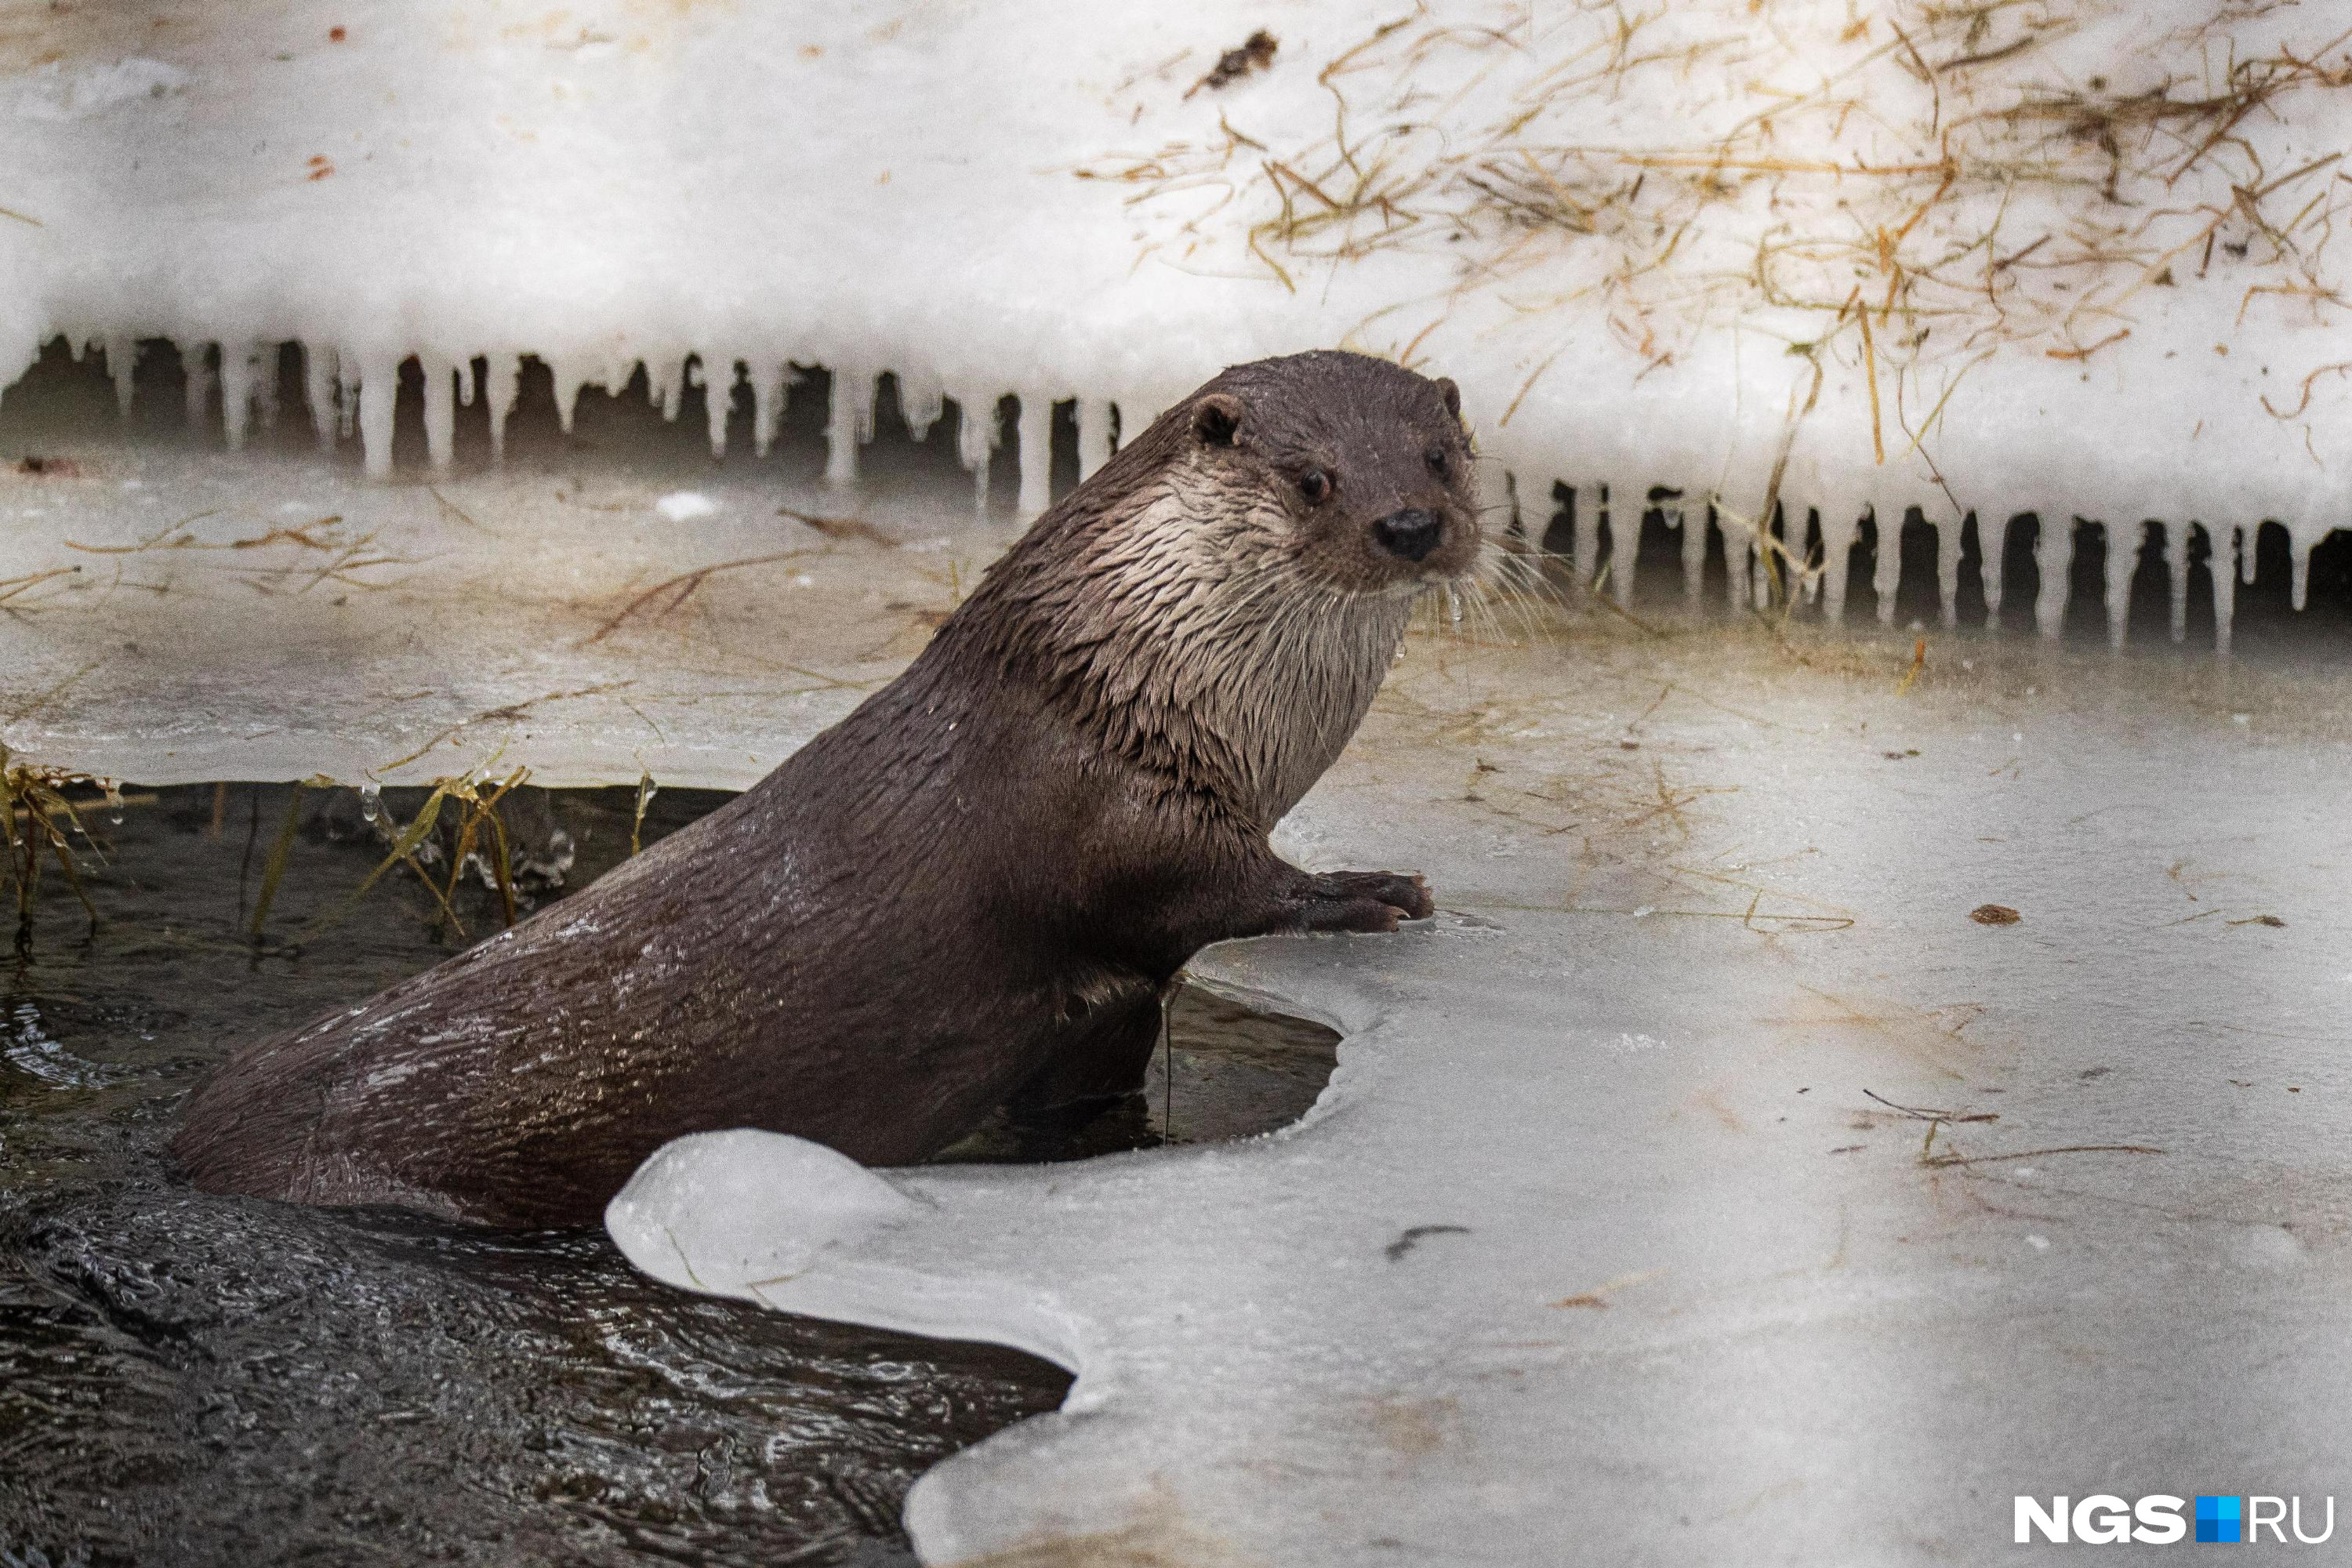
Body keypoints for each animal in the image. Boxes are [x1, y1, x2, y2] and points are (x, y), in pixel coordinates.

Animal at [174, 352, 1477, 1222]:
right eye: (1312, 478)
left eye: (1441, 455)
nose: (1414, 524)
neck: (1128, 684)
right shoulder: (1115, 810)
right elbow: (1205, 884)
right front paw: (1363, 889)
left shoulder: (1111, 1006)